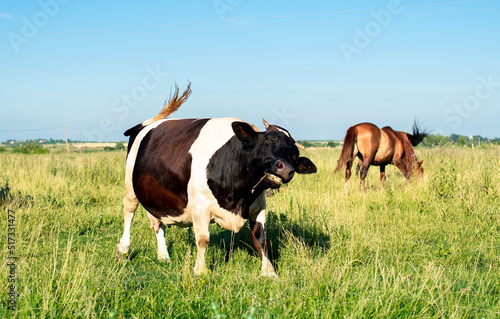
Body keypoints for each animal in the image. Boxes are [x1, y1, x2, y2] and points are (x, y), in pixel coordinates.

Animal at [116, 85, 316, 278]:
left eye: (294, 155)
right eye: (266, 140)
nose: (285, 168)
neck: (239, 196)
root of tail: (145, 126)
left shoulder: (259, 206)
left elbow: (261, 239)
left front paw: (269, 272)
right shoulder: (200, 207)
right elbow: (203, 239)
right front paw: (200, 270)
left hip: (157, 196)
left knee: (159, 222)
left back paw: (163, 255)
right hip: (130, 187)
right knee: (129, 211)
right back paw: (124, 249)